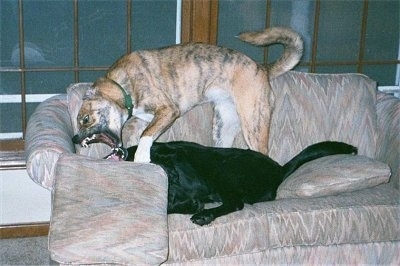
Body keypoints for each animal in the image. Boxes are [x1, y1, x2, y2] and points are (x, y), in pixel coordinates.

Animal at [72, 27, 304, 162]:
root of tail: (263, 69)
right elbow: (141, 132)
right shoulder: (144, 119)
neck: (122, 87)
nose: (75, 138)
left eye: (85, 119)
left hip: (253, 125)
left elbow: (146, 136)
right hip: (223, 128)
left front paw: (142, 157)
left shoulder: (167, 110)